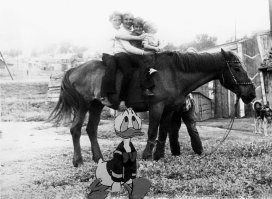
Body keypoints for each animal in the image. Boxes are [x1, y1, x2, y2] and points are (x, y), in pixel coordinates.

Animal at [48, 49, 255, 166]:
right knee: (75, 130)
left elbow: (163, 132)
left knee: (91, 130)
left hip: (96, 106)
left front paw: (159, 155)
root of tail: (73, 70)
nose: (251, 93)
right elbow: (153, 131)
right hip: (83, 106)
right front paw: (147, 155)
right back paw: (78, 161)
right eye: (237, 69)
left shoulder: (169, 109)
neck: (173, 73)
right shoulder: (156, 107)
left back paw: (98, 158)